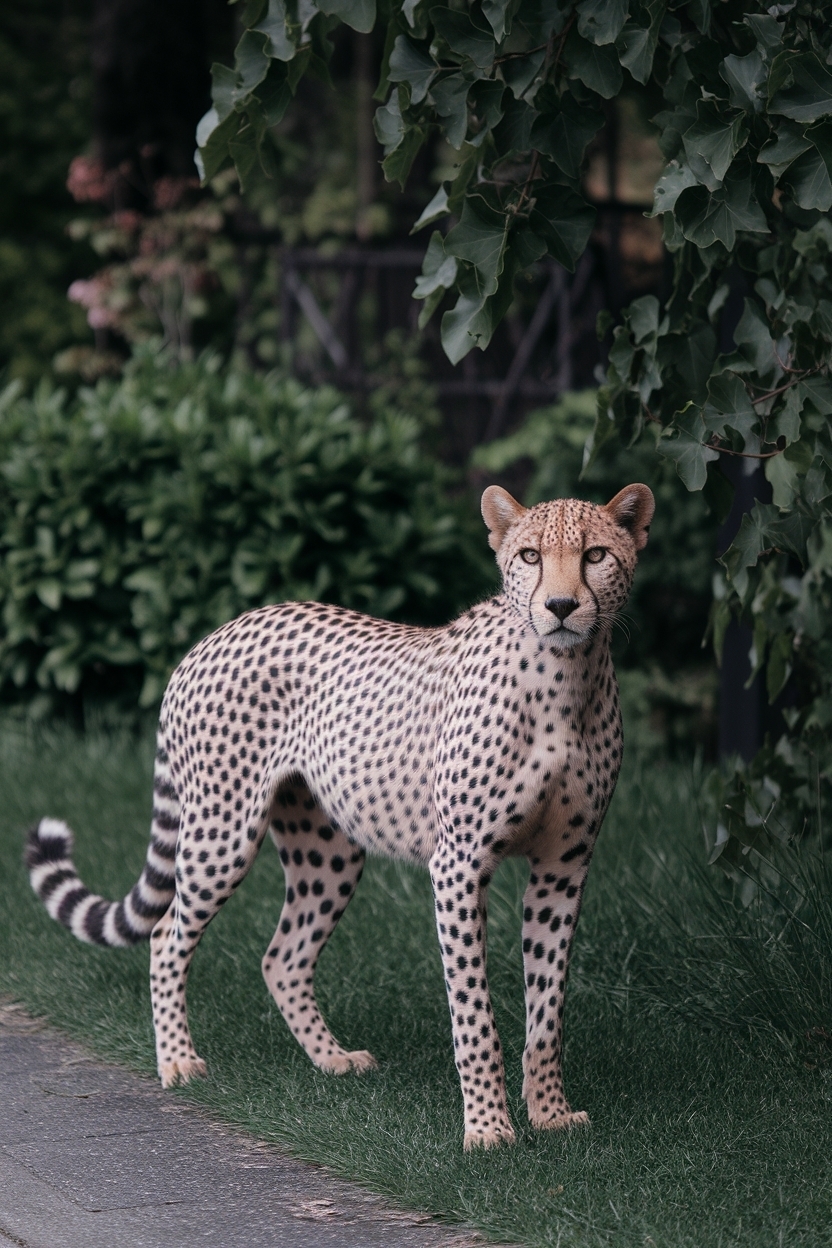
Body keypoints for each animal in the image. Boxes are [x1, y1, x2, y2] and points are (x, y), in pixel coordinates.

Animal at [26, 482, 654, 1151]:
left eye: (594, 555)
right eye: (531, 556)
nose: (561, 606)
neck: (565, 679)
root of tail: (217, 633)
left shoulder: (563, 866)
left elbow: (548, 1006)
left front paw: (551, 1113)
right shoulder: (459, 864)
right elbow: (474, 1011)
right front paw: (487, 1128)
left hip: (329, 852)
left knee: (282, 956)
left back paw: (332, 1059)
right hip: (223, 831)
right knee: (167, 934)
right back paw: (177, 1061)